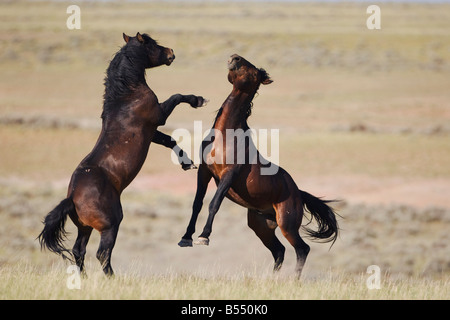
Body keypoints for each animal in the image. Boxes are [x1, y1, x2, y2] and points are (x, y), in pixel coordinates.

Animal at [39, 33, 207, 278]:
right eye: (152, 44)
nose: (171, 53)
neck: (127, 96)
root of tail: (72, 198)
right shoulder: (159, 115)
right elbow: (177, 97)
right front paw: (199, 100)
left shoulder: (152, 132)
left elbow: (170, 141)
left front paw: (187, 163)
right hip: (111, 224)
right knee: (102, 253)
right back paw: (112, 278)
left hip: (85, 228)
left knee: (79, 250)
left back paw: (85, 279)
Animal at [178, 53, 338, 276]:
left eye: (253, 72)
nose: (234, 57)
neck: (226, 135)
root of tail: (298, 193)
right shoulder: (204, 171)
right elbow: (197, 204)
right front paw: (186, 237)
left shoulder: (229, 174)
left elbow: (214, 203)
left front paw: (204, 237)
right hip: (261, 226)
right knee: (279, 250)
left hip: (287, 225)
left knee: (302, 249)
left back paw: (292, 279)